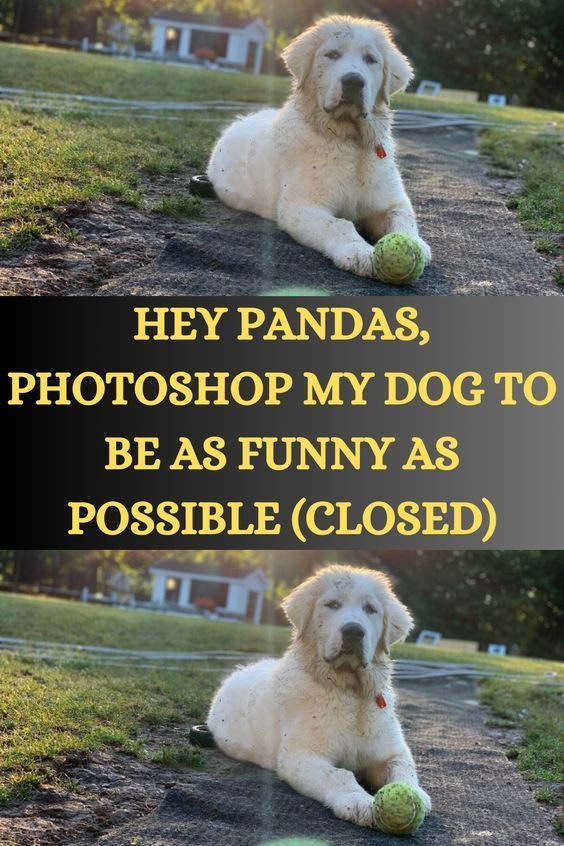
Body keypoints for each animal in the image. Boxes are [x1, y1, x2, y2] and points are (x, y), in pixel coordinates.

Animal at [207, 568, 432, 832]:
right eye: (332, 604)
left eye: (370, 609)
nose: (353, 631)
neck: (350, 692)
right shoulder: (301, 755)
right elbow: (339, 775)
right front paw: (357, 800)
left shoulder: (391, 752)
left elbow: (402, 767)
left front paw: (416, 794)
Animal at [208, 15, 432, 282]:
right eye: (332, 55)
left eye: (371, 59)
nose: (353, 81)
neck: (350, 142)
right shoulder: (300, 205)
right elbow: (338, 225)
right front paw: (357, 250)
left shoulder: (392, 202)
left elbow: (403, 219)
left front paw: (416, 245)